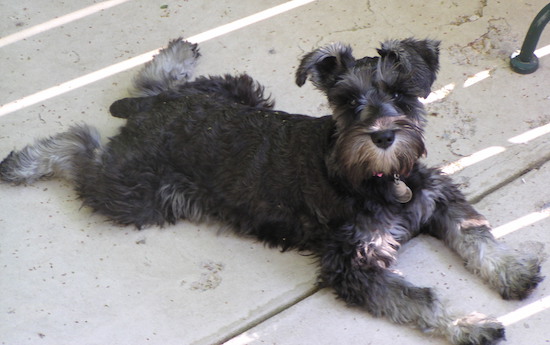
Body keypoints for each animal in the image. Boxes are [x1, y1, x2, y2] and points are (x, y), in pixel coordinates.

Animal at [0, 38, 544, 344]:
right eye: (349, 101)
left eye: (400, 92)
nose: (384, 137)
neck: (382, 180)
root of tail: (147, 114)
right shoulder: (354, 265)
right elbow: (423, 299)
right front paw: (471, 324)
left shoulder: (439, 197)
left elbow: (476, 234)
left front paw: (513, 271)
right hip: (136, 192)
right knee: (79, 147)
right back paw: (24, 162)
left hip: (238, 88)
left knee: (154, 83)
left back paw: (176, 55)